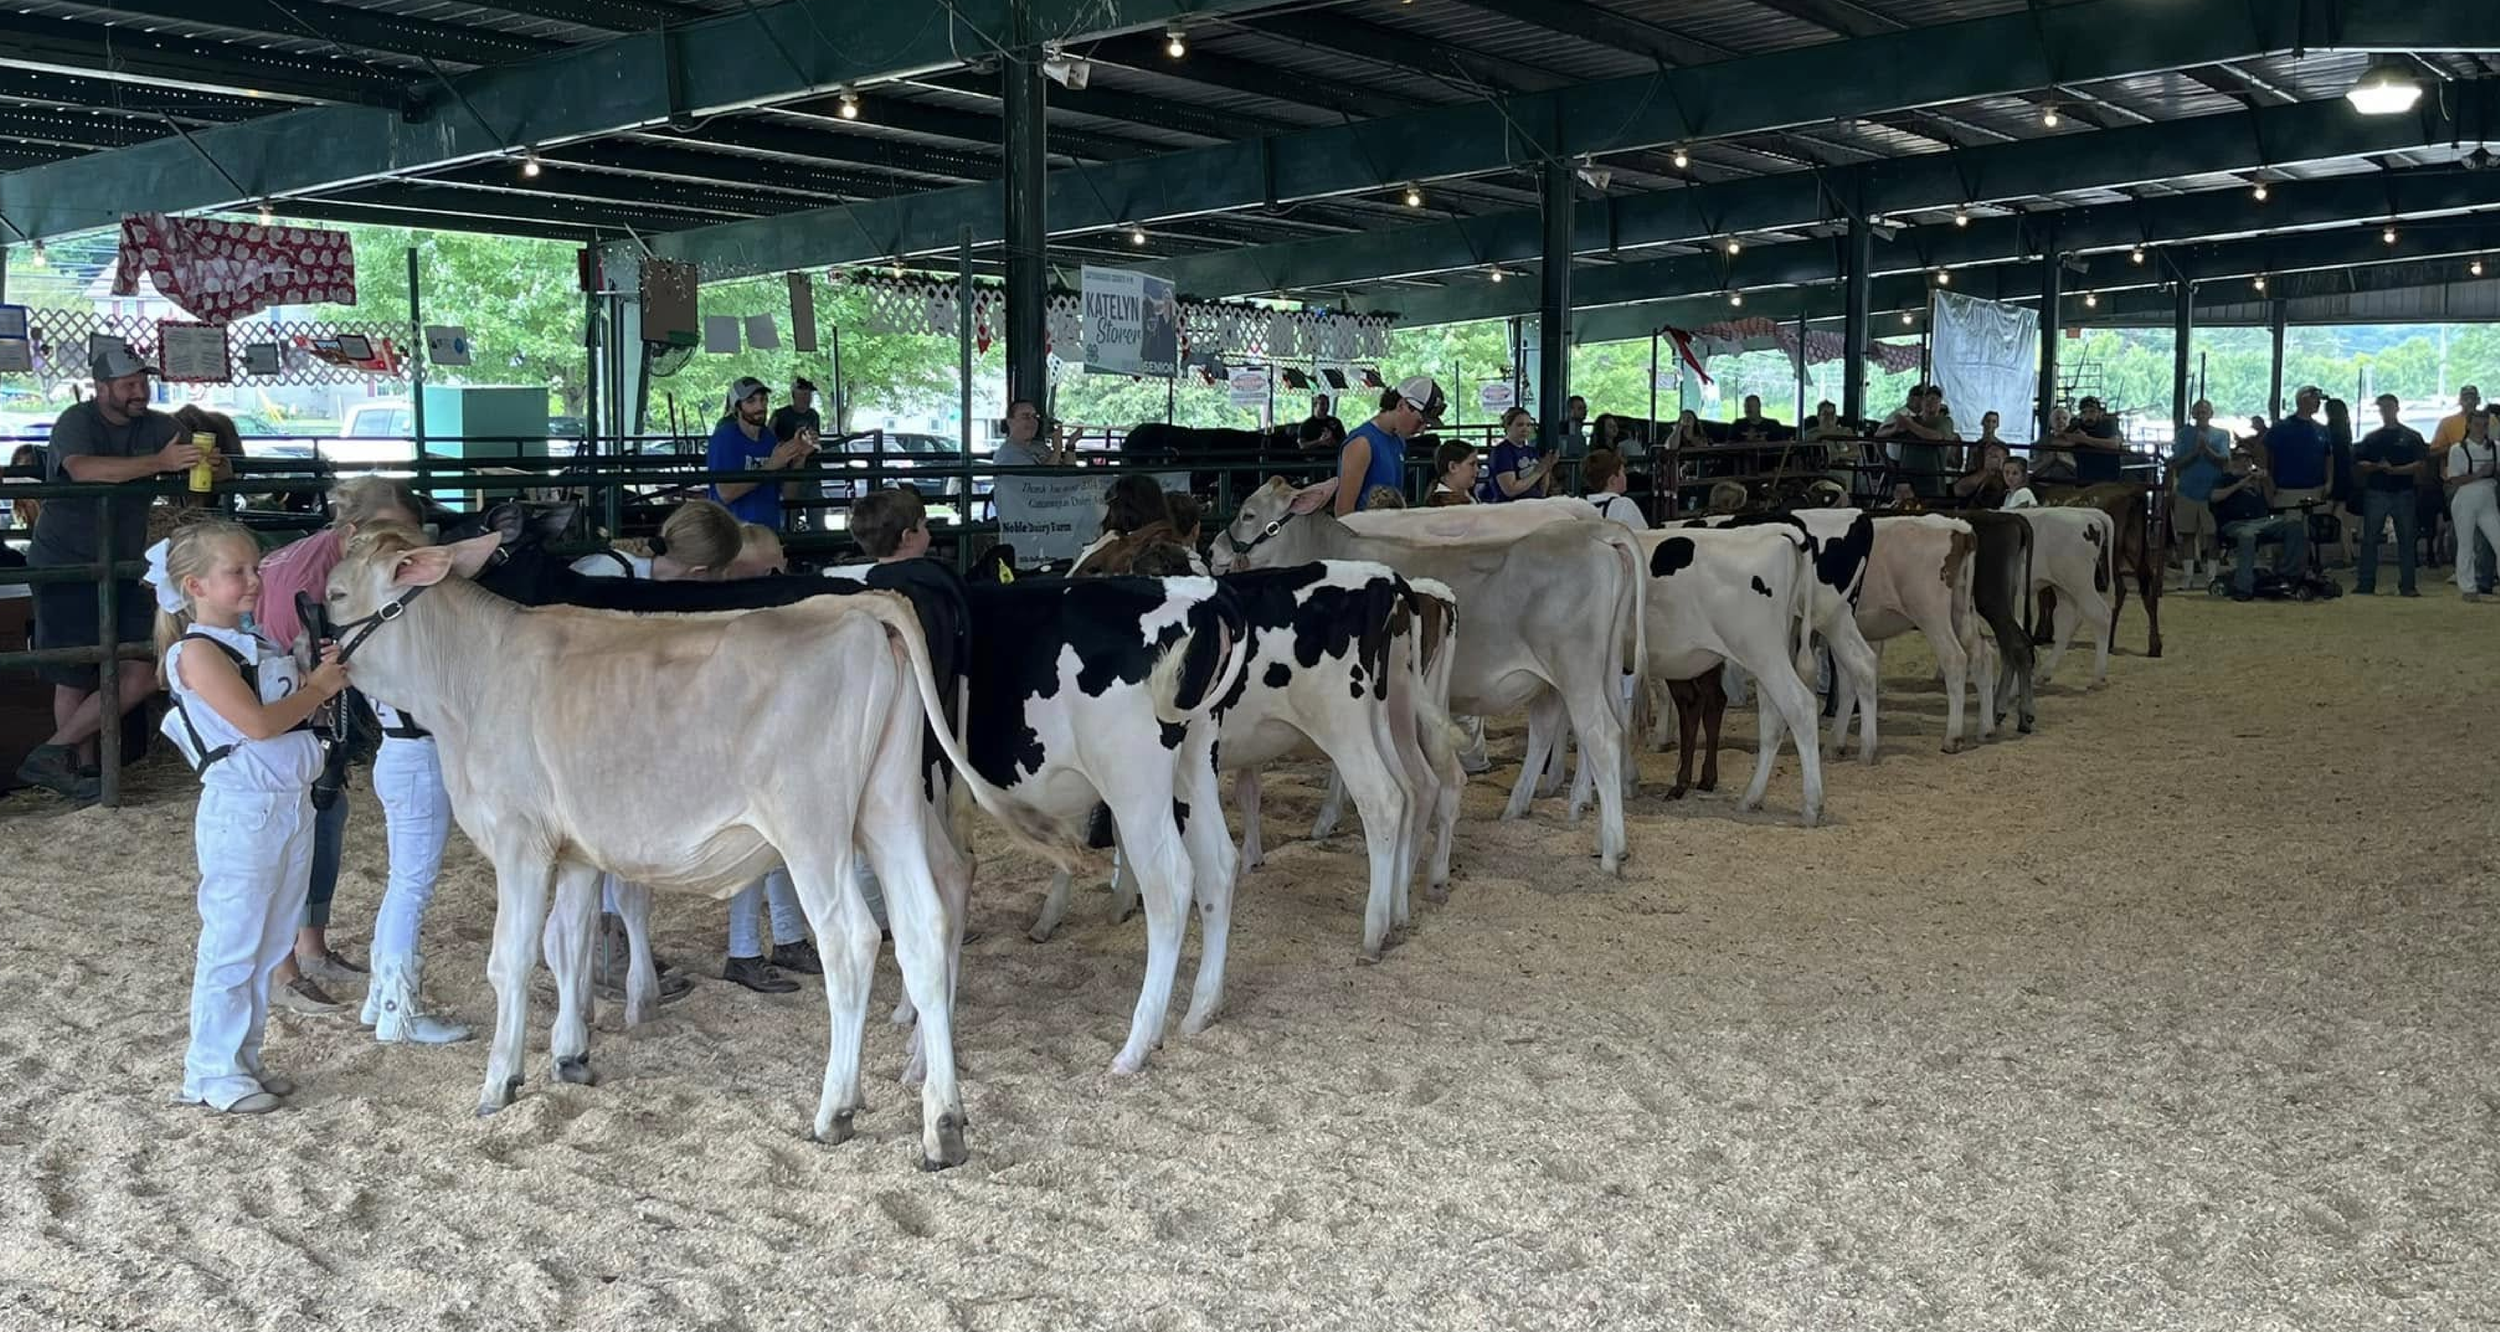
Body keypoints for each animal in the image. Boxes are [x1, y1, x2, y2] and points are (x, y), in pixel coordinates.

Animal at [321, 528, 1068, 1170]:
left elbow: (512, 960)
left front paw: (500, 1082)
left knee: (852, 939)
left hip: (813, 824)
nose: (314, 656)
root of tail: (859, 610)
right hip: (889, 808)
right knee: (924, 926)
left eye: (333, 593)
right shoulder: (578, 848)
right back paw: (943, 1124)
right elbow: (569, 945)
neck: (470, 678)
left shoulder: (519, 837)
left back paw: (836, 1110)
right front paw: (571, 1055)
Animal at [1212, 478, 1645, 875]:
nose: (1214, 549)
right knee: (1580, 727)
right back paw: (1555, 814)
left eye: (1248, 514)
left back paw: (1611, 849)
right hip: (1593, 672)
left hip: (1575, 671)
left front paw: (1327, 819)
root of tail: (1592, 533)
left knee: (1598, 734)